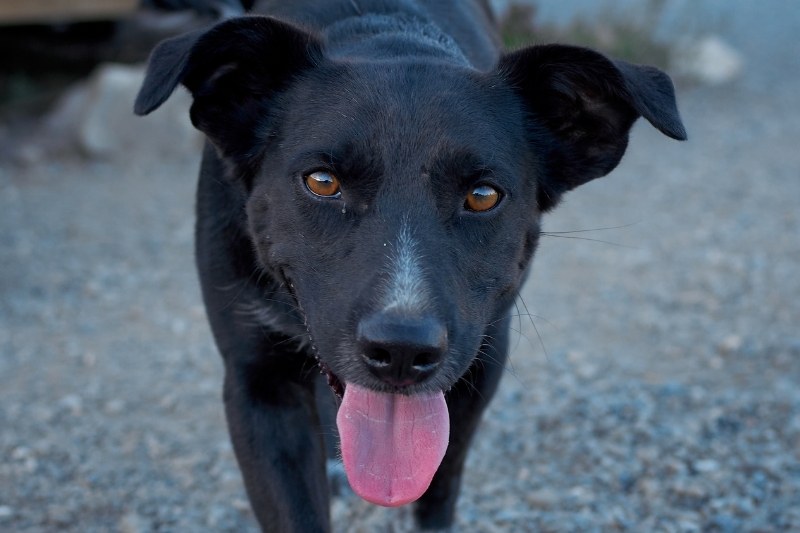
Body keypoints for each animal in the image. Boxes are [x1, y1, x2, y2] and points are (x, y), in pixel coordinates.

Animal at [134, 0, 684, 528]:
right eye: (322, 182)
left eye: (483, 195)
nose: (401, 351)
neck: (387, 35)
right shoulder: (256, 383)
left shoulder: (480, 362)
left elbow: (439, 483)